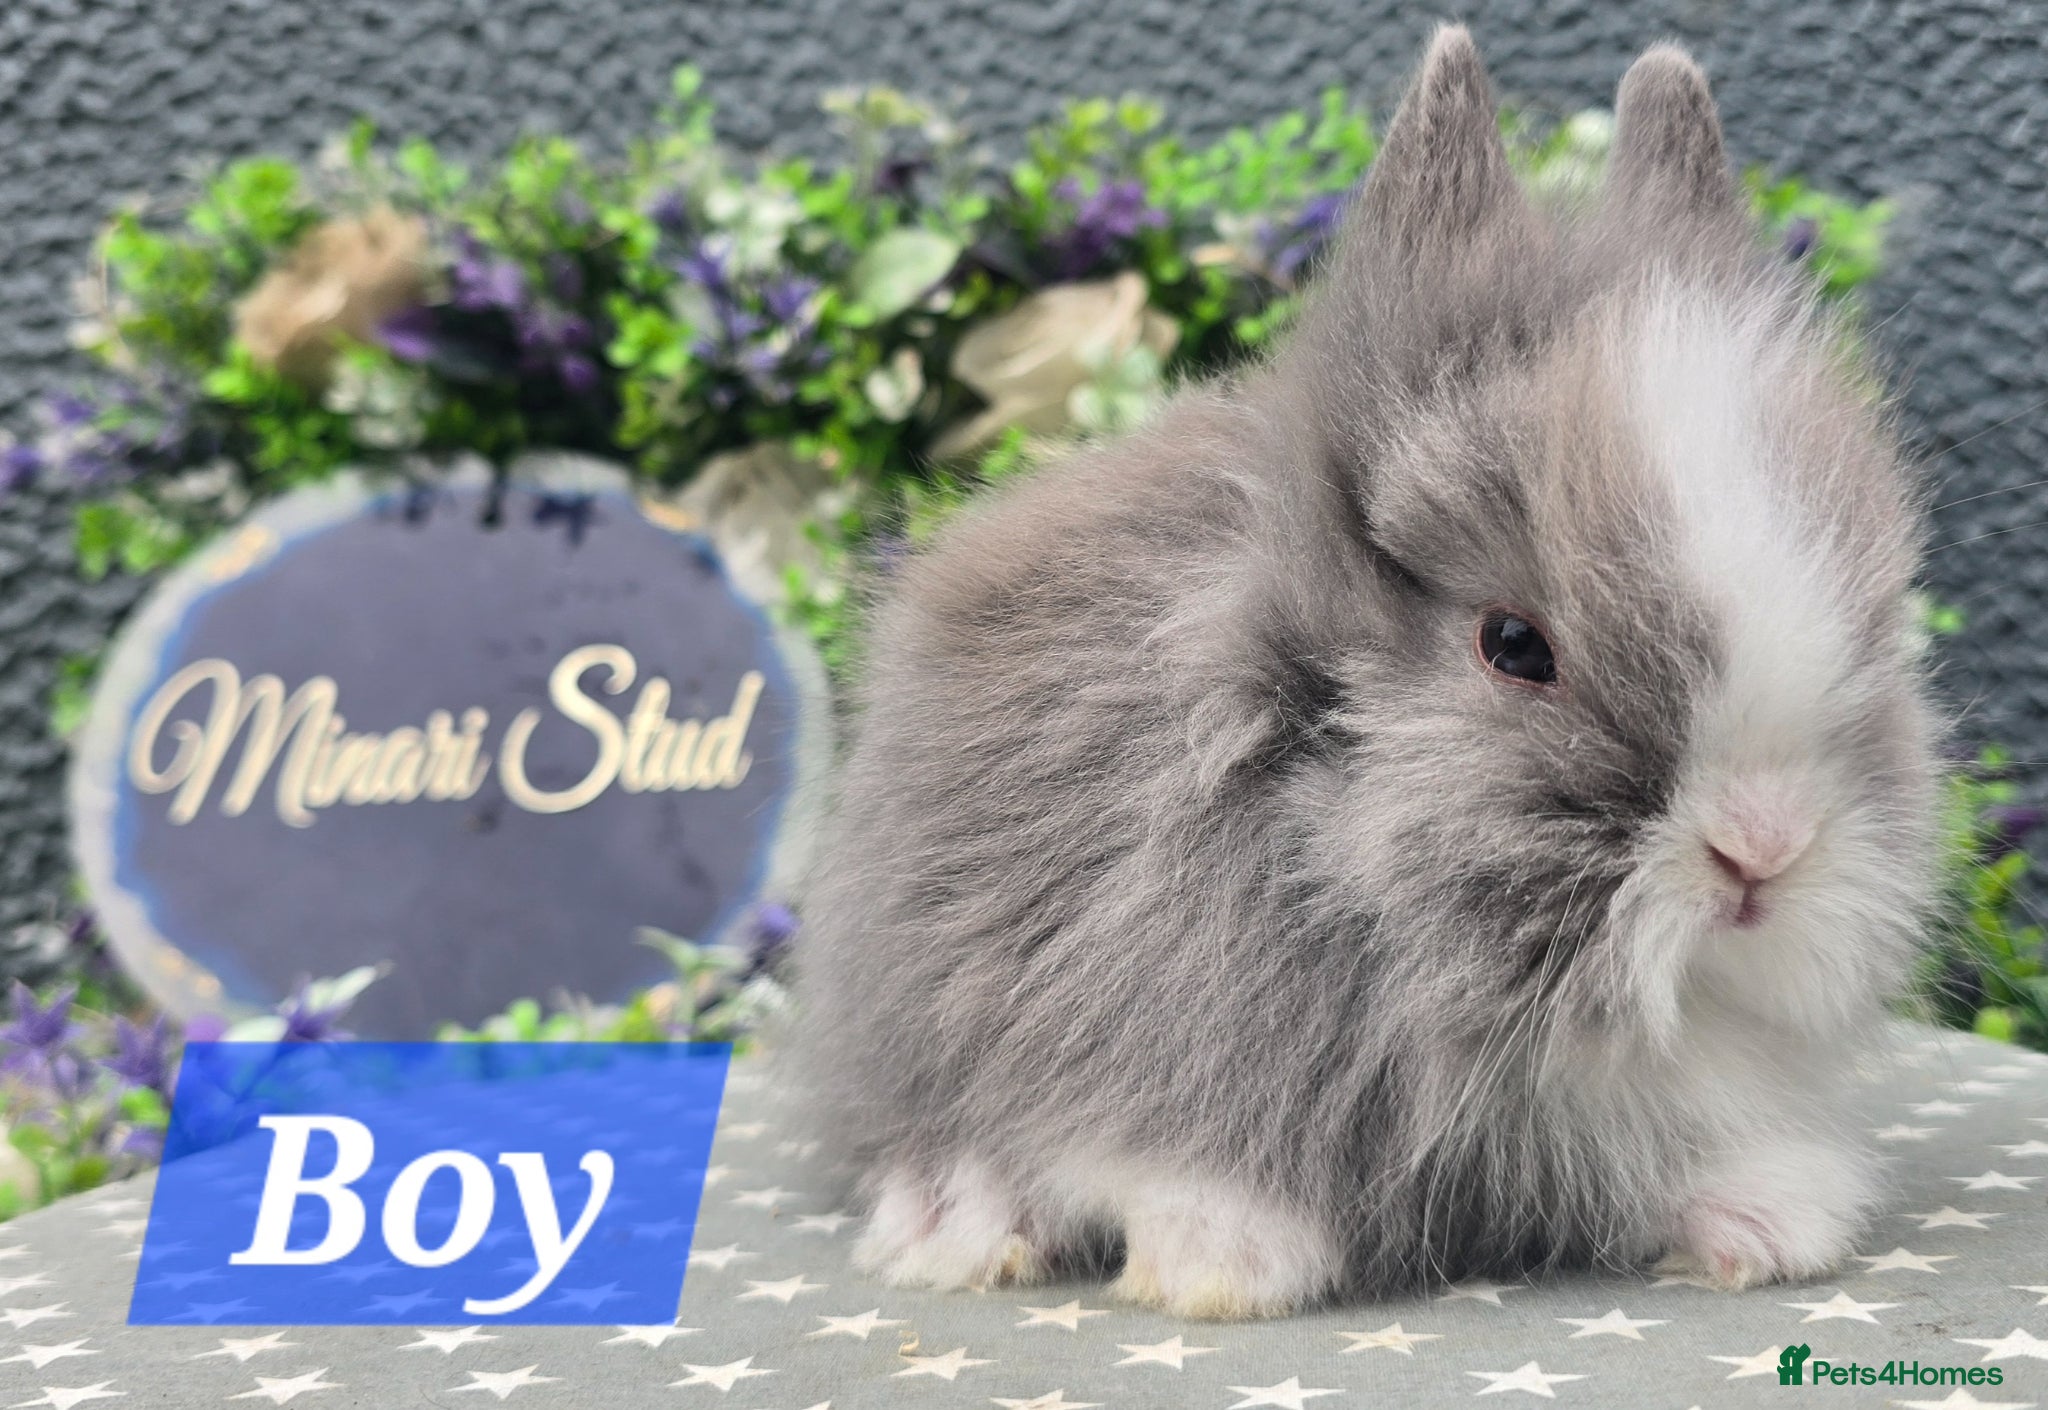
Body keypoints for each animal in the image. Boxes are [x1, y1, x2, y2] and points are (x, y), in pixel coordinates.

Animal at [790, 25, 1942, 1319]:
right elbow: (1160, 1146)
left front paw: (1767, 1224)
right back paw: (954, 1222)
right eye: (1512, 646)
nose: (1762, 850)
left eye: (1873, 623)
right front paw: (1218, 1264)